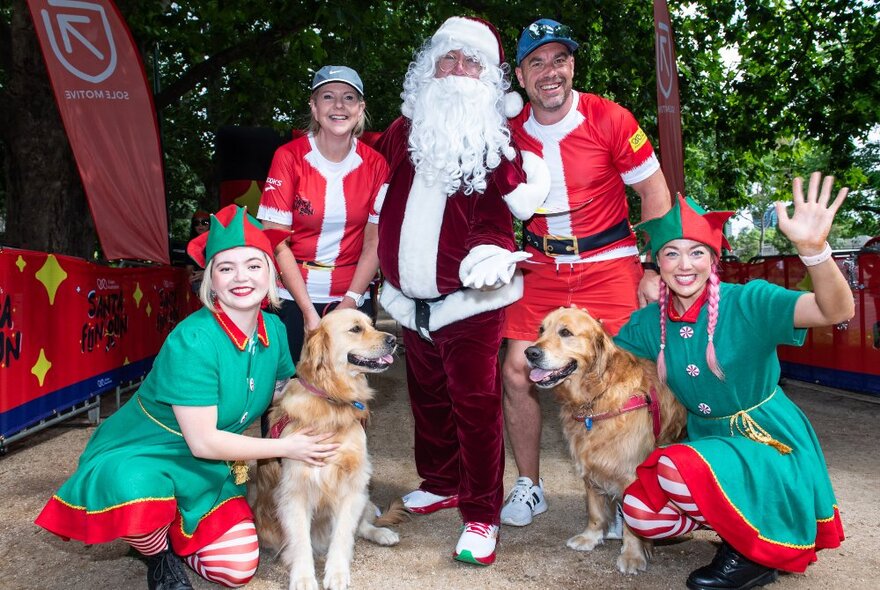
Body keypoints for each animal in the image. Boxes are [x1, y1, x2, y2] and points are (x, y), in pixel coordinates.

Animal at [248, 310, 398, 590]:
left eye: (372, 324)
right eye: (356, 329)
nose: (393, 339)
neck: (331, 400)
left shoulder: (353, 485)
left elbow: (343, 535)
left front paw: (337, 573)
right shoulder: (295, 490)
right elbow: (300, 542)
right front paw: (304, 577)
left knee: (362, 525)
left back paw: (382, 533)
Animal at [524, 308, 688, 576]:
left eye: (565, 332)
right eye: (540, 330)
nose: (530, 352)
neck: (596, 397)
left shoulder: (632, 473)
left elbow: (632, 522)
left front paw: (632, 555)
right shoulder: (590, 464)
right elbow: (595, 510)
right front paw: (590, 537)